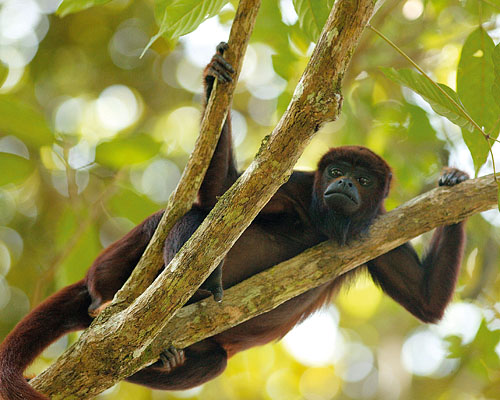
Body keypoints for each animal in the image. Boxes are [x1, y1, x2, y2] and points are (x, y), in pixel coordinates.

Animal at [0, 42, 468, 398]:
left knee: (213, 362)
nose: (345, 184)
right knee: (181, 219)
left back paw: (166, 357)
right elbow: (220, 192)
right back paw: (119, 295)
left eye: (364, 179)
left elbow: (425, 300)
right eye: (337, 171)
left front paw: (454, 181)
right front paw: (214, 78)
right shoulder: (294, 186)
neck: (324, 221)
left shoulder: (379, 233)